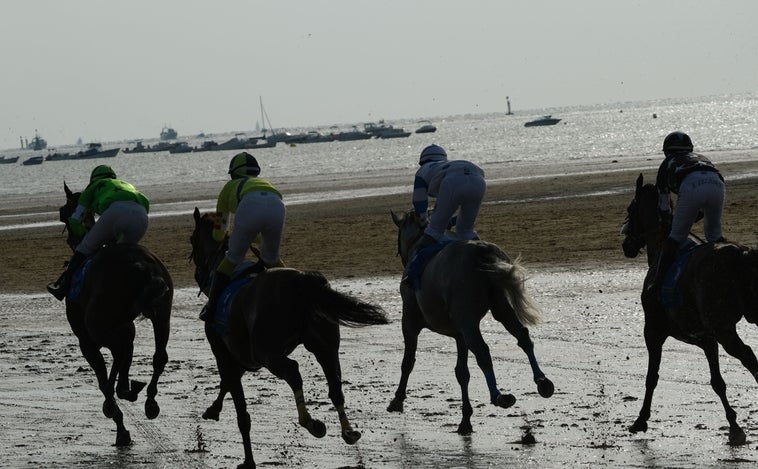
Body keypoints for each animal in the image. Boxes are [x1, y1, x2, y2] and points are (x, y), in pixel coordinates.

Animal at [56, 181, 175, 444]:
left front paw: (118, 422)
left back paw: (119, 397)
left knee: (120, 359)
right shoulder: (124, 329)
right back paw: (149, 401)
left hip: (99, 328)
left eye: (63, 211)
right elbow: (124, 358)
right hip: (163, 313)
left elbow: (104, 375)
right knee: (159, 356)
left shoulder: (87, 341)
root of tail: (141, 264)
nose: (70, 238)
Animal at [189, 208, 388, 468]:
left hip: (269, 354)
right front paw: (213, 409)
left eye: (192, 240)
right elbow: (227, 384)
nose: (197, 273)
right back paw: (348, 431)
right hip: (325, 347)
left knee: (293, 372)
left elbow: (241, 410)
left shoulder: (224, 353)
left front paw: (248, 460)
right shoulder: (241, 359)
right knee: (335, 385)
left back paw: (311, 422)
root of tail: (302, 281)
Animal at [392, 210, 552, 434]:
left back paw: (498, 396)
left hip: (468, 321)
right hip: (500, 308)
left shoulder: (410, 322)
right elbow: (462, 373)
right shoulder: (459, 335)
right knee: (522, 336)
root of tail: (481, 252)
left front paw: (397, 399)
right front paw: (465, 418)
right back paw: (541, 380)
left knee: (483, 351)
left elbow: (408, 362)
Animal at [628, 174, 758, 444]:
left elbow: (651, 377)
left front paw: (641, 419)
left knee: (748, 355)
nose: (626, 244)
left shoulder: (653, 332)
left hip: (724, 327)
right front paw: (734, 426)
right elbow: (717, 381)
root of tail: (742, 253)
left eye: (629, 211)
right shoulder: (707, 339)